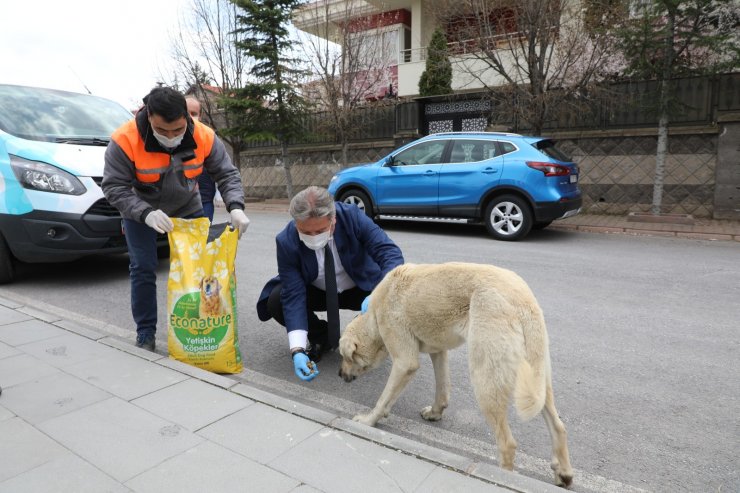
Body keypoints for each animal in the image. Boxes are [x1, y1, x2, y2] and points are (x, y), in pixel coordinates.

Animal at [338, 262, 576, 484]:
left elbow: (383, 400)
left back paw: (503, 478)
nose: (340, 374)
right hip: (538, 380)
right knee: (559, 427)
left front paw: (368, 421)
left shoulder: (405, 363)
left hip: (485, 380)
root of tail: (524, 301)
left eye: (344, 356)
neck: (374, 317)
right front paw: (435, 413)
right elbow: (442, 388)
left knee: (507, 444)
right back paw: (563, 473)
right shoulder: (438, 352)